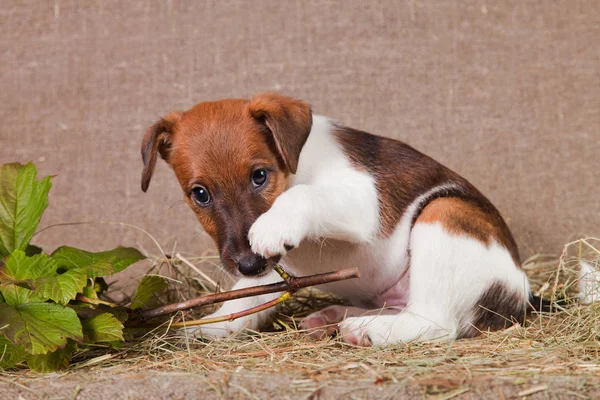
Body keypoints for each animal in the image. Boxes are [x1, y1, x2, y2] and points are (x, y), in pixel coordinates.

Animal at [141, 94, 592, 346]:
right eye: (200, 194)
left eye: (259, 176)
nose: (249, 263)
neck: (294, 165)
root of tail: (525, 291)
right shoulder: (269, 268)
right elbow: (247, 298)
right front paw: (213, 326)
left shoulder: (362, 200)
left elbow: (302, 197)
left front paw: (273, 222)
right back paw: (338, 318)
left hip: (444, 213)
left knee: (437, 323)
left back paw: (369, 331)